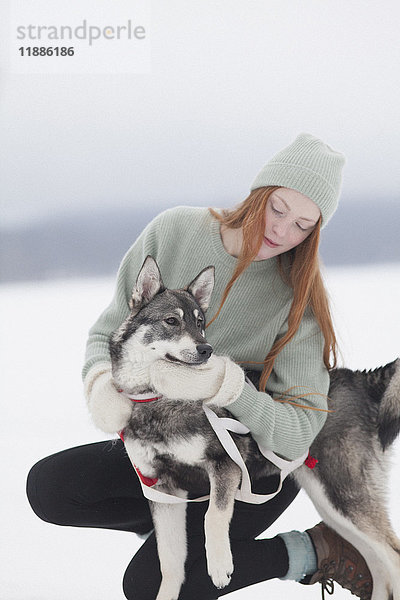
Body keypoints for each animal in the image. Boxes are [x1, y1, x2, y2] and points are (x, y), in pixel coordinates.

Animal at [108, 255, 400, 600]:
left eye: (200, 322)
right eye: (171, 321)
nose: (206, 349)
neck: (158, 399)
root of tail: (360, 379)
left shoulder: (225, 464)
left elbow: (213, 515)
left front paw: (220, 566)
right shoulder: (162, 489)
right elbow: (169, 566)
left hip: (346, 495)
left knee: (392, 557)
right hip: (331, 505)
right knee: (377, 563)